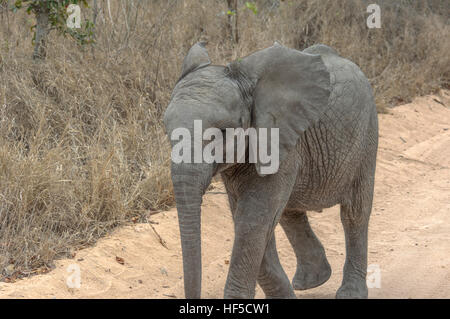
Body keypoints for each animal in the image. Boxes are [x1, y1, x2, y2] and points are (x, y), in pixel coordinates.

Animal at [163, 41, 378, 298]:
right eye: (167, 130)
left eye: (223, 132)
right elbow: (251, 219)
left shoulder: (279, 141)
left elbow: (253, 220)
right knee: (289, 212)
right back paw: (312, 281)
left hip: (367, 134)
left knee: (354, 212)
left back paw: (349, 292)